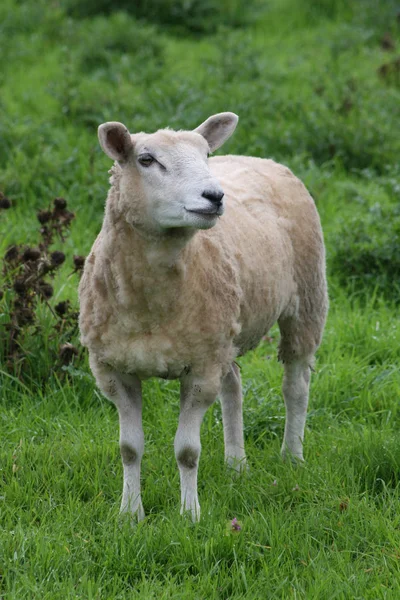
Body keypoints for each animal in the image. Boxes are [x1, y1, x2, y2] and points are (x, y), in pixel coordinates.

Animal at [78, 111, 328, 520]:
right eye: (146, 159)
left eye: (205, 155)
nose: (214, 196)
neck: (150, 306)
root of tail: (257, 158)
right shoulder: (113, 370)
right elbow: (129, 449)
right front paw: (130, 514)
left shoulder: (200, 371)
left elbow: (187, 451)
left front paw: (190, 515)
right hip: (223, 335)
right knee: (234, 386)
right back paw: (236, 464)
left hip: (306, 301)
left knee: (296, 386)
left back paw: (292, 455)